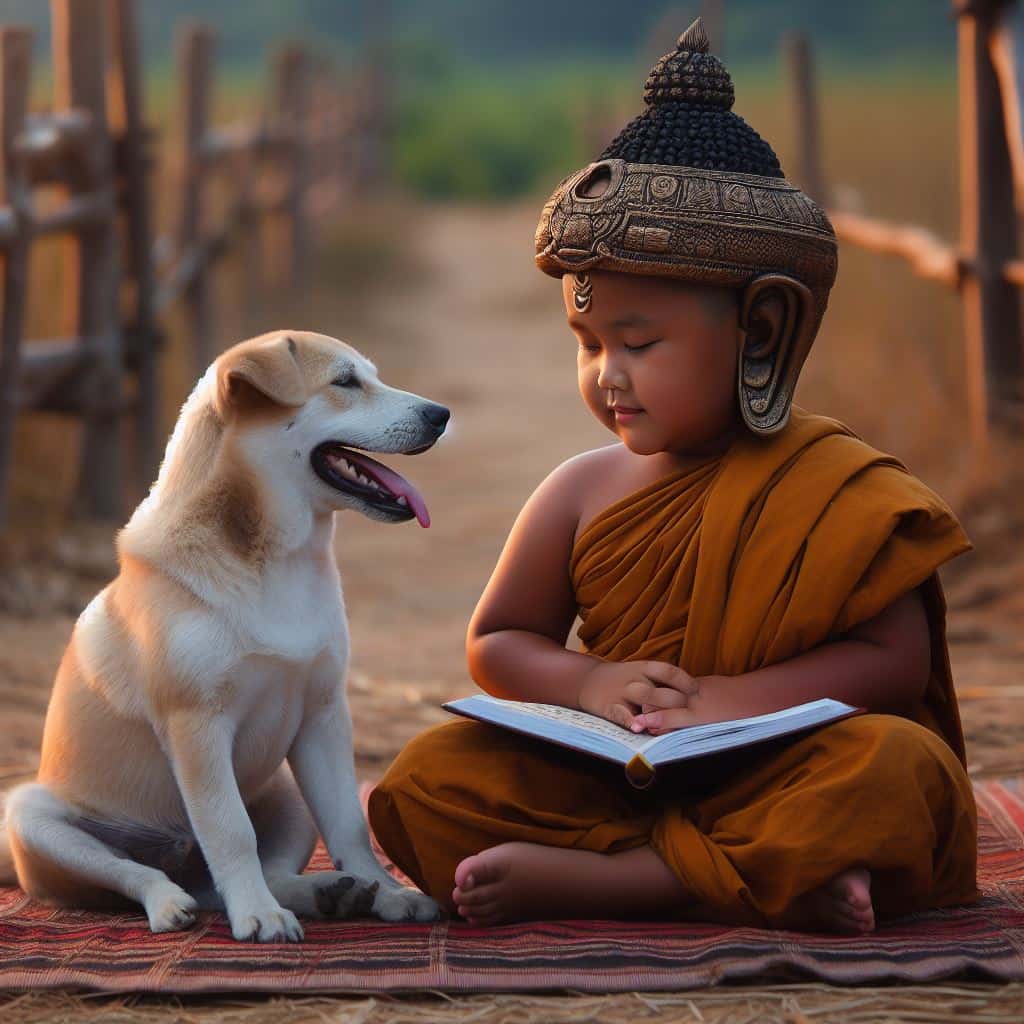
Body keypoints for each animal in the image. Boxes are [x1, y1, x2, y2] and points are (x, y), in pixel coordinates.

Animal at [1, 331, 448, 937]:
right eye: (345, 382)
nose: (440, 414)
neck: (276, 564)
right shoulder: (197, 724)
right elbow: (232, 829)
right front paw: (257, 915)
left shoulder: (324, 714)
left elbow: (348, 822)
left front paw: (387, 891)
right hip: (33, 815)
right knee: (137, 874)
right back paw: (173, 904)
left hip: (287, 793)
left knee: (254, 872)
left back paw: (330, 892)